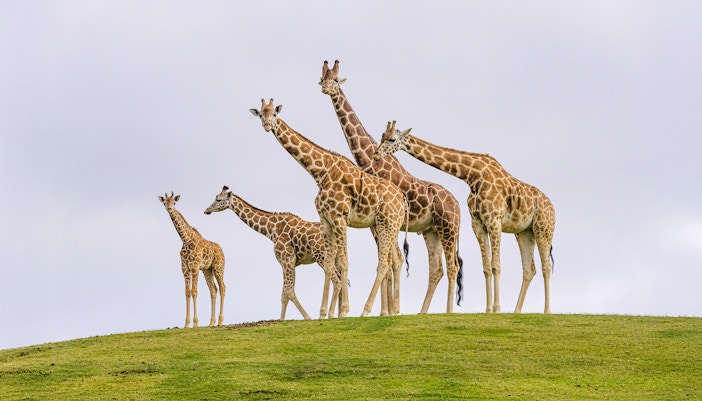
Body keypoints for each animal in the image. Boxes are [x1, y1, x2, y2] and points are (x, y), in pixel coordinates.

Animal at [158, 192, 226, 327]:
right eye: (164, 202)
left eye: (174, 202)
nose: (169, 208)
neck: (185, 239)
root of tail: (222, 251)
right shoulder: (184, 267)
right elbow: (187, 292)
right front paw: (186, 324)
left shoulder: (194, 266)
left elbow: (194, 291)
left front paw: (195, 323)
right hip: (207, 270)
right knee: (213, 290)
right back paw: (211, 323)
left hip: (218, 267)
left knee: (223, 288)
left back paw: (221, 321)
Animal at [204, 185, 326, 321]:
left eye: (218, 199)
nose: (206, 210)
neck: (272, 230)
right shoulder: (287, 262)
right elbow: (284, 294)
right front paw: (283, 320)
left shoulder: (287, 259)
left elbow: (288, 292)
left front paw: (306, 318)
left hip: (321, 256)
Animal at [250, 98, 407, 318]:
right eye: (260, 114)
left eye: (274, 114)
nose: (266, 125)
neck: (320, 172)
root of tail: (402, 199)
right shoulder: (326, 221)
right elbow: (328, 265)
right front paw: (323, 313)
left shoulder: (340, 218)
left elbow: (343, 262)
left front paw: (344, 311)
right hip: (386, 225)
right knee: (396, 260)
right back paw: (393, 311)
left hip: (388, 224)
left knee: (384, 263)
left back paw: (366, 311)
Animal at [320, 60, 464, 313]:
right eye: (322, 78)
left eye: (336, 80)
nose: (325, 89)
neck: (370, 161)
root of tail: (457, 205)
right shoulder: (377, 223)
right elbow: (388, 260)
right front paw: (386, 310)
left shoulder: (385, 220)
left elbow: (389, 260)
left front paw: (386, 311)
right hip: (432, 231)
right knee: (436, 269)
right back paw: (422, 312)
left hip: (449, 229)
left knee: (453, 266)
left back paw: (447, 312)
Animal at [374, 121, 556, 314]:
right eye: (382, 137)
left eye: (392, 139)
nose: (376, 154)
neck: (472, 176)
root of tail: (552, 208)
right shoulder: (478, 223)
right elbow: (486, 267)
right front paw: (488, 309)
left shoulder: (494, 220)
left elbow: (496, 265)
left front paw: (497, 308)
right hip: (524, 232)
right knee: (530, 269)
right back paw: (516, 311)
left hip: (543, 228)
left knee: (546, 266)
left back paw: (547, 311)